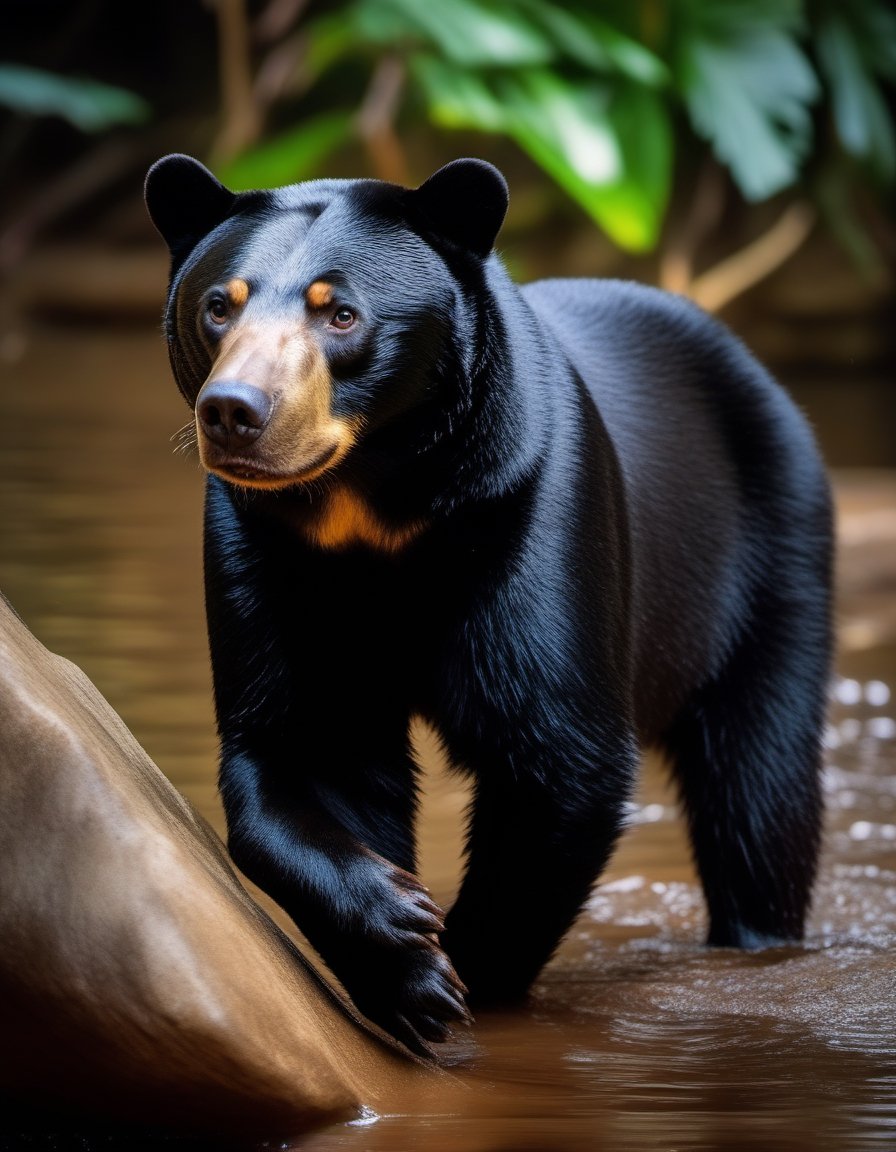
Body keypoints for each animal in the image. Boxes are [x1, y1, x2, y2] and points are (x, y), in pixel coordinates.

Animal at [145, 157, 829, 1055]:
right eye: (220, 305)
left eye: (341, 312)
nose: (233, 410)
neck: (368, 506)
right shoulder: (262, 548)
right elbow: (305, 746)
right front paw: (401, 951)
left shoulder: (536, 506)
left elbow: (559, 755)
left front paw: (465, 968)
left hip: (774, 560)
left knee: (759, 787)